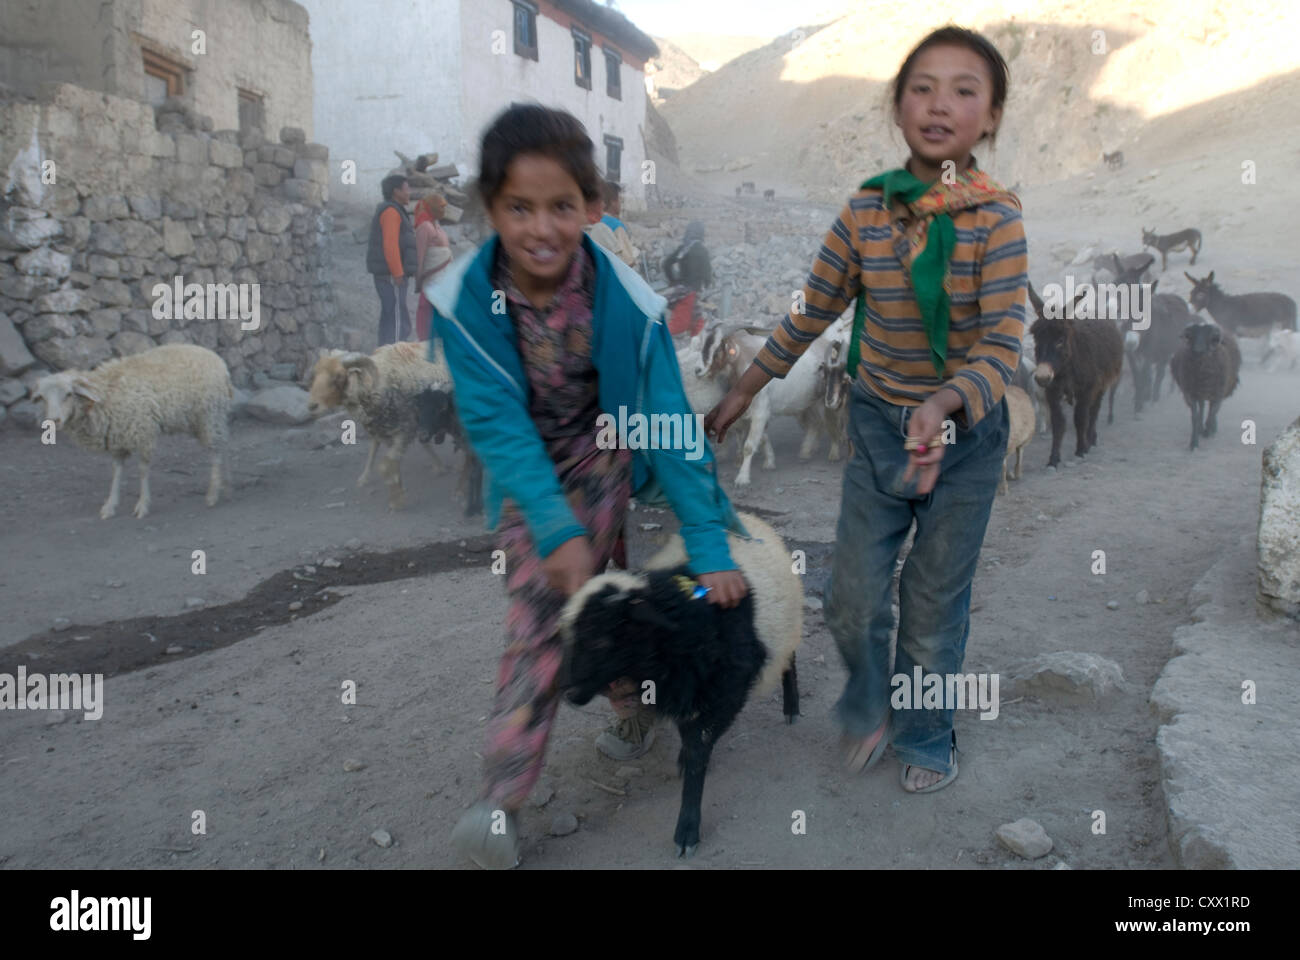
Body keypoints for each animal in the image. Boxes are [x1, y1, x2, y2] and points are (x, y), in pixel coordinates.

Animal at [32, 343, 233, 515]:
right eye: (43, 398)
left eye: (68, 394)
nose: (54, 420)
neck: (105, 394)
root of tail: (218, 360)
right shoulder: (117, 437)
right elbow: (117, 471)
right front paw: (110, 505)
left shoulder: (144, 432)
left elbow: (143, 470)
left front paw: (142, 505)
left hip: (209, 416)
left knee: (216, 452)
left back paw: (213, 494)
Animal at [556, 512, 800, 858]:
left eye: (601, 639)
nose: (569, 693)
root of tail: (750, 518)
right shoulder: (682, 692)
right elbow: (689, 738)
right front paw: (685, 760)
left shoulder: (727, 692)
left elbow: (700, 751)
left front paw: (687, 829)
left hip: (786, 627)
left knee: (790, 659)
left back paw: (792, 706)